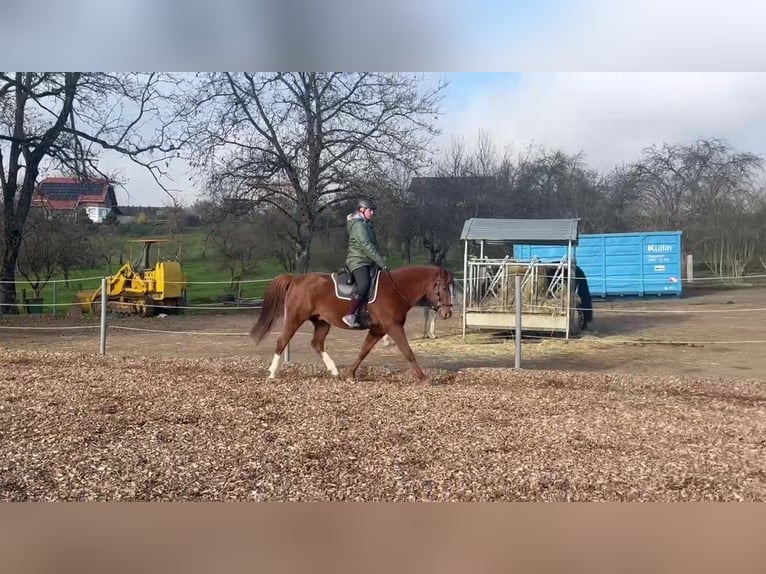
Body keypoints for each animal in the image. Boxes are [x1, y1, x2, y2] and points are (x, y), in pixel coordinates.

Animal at [250, 266, 456, 388]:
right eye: (444, 288)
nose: (447, 313)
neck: (395, 289)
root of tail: (295, 279)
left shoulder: (378, 329)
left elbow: (363, 351)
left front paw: (350, 374)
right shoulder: (393, 327)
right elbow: (408, 352)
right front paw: (423, 378)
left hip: (322, 322)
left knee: (317, 343)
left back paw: (334, 371)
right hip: (295, 318)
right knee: (282, 340)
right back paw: (272, 373)